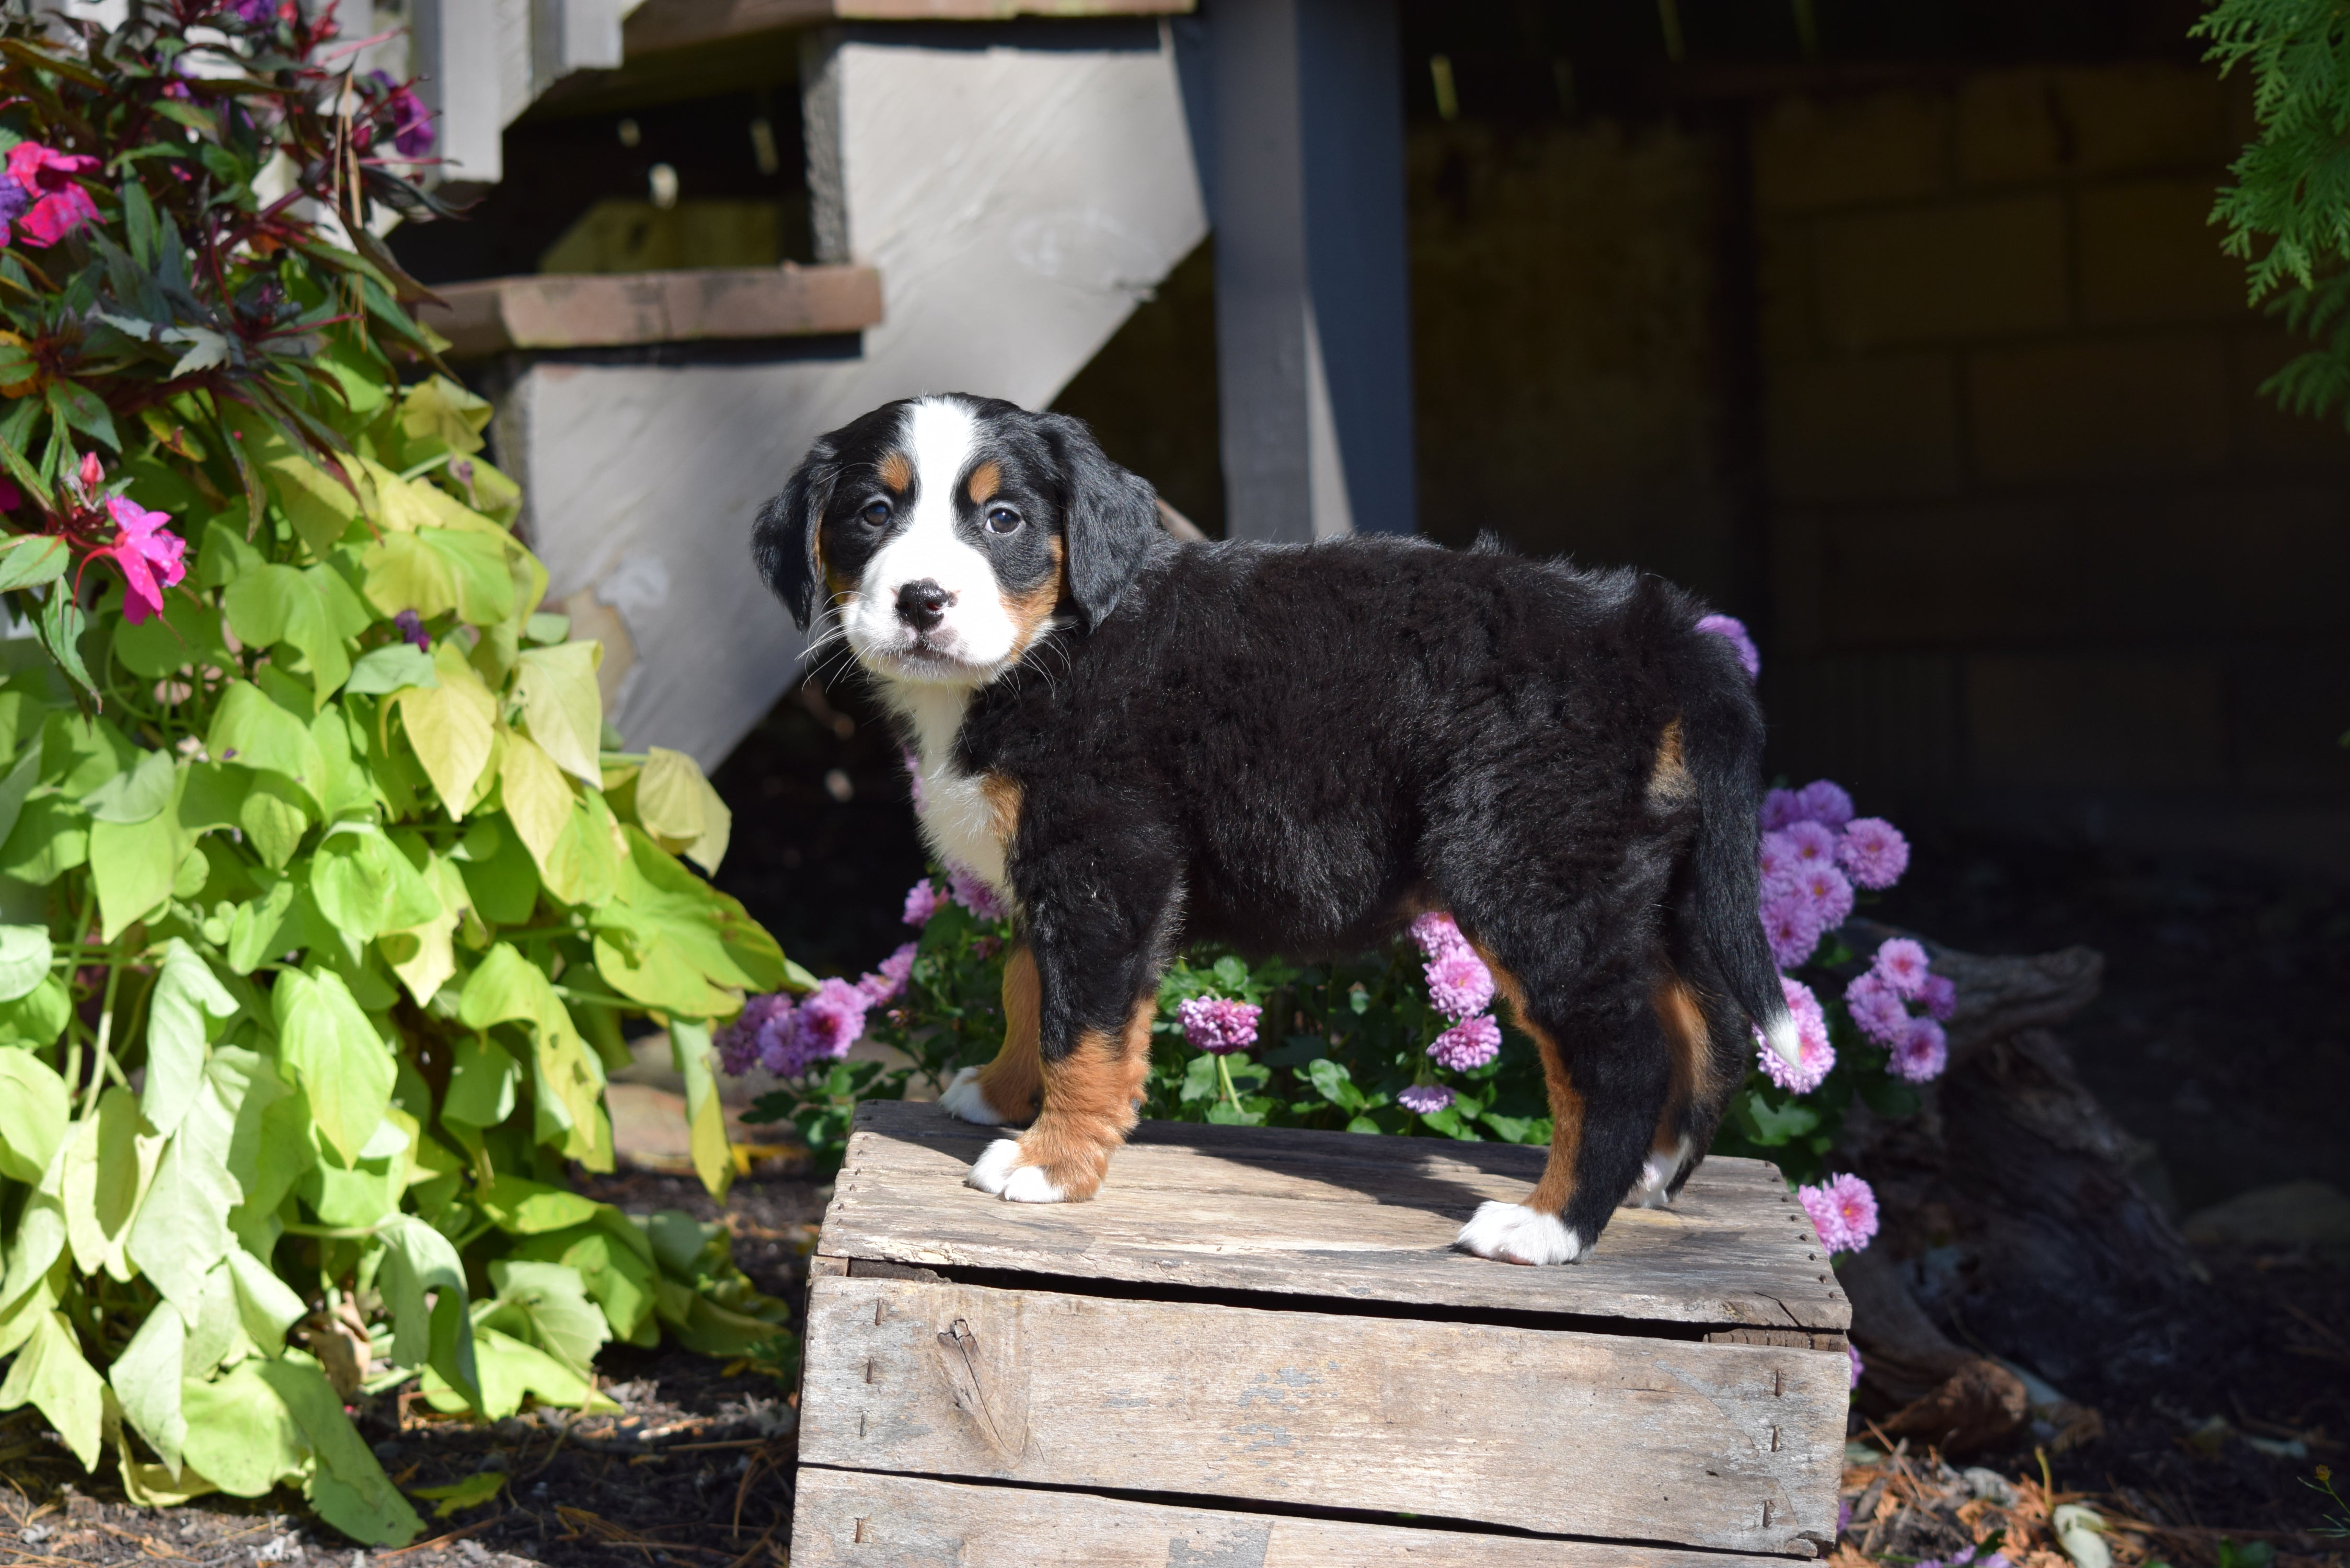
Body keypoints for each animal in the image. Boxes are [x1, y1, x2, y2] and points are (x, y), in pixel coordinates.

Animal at [756, 393, 1795, 1260]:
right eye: (872, 514)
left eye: (1001, 519)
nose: (921, 601)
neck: (1053, 646)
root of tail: (1657, 629)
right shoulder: (1054, 866)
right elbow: (1027, 988)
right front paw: (1001, 1093)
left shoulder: (1106, 858)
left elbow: (1080, 1026)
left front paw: (1049, 1161)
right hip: (1643, 879)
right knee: (1705, 1023)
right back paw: (1653, 1175)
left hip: (1528, 867)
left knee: (1617, 1053)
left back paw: (1549, 1226)